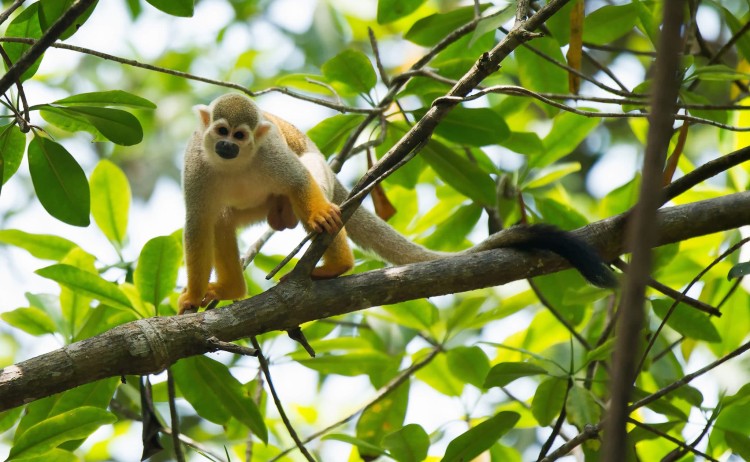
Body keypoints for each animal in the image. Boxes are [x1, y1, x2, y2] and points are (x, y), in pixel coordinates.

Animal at [178, 93, 616, 314]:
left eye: (240, 135)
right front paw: (193, 297)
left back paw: (336, 262)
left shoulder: (269, 154)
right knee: (222, 219)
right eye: (221, 131)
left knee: (309, 182)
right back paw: (232, 287)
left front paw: (320, 217)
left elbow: (299, 180)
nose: (227, 146)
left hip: (315, 172)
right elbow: (198, 224)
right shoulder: (195, 165)